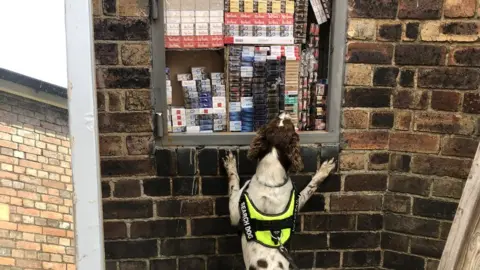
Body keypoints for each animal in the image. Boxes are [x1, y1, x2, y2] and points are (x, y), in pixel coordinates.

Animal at [223, 112, 336, 270]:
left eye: (287, 122)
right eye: (277, 120)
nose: (284, 112)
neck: (270, 180)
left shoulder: (234, 207)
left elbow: (234, 181)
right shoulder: (235, 211)